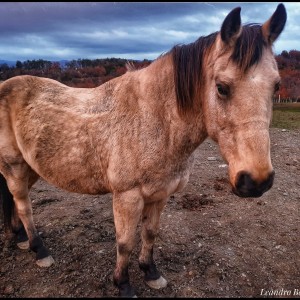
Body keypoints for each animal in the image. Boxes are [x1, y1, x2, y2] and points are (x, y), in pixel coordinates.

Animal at [0, 2, 286, 298]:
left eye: (276, 85)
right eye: (221, 87)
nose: (256, 181)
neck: (153, 119)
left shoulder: (160, 194)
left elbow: (150, 233)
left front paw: (151, 272)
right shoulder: (127, 197)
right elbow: (125, 242)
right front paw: (123, 284)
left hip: (30, 167)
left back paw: (19, 238)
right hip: (15, 167)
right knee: (24, 206)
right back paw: (39, 250)